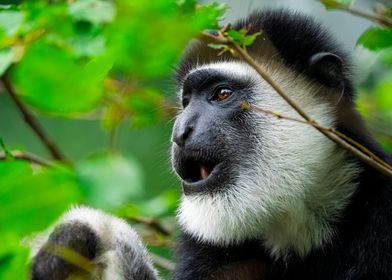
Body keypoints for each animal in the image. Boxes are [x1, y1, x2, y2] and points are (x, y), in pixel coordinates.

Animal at [29, 8, 392, 280]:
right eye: (186, 101)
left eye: (222, 94)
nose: (181, 131)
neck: (297, 228)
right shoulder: (209, 247)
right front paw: (78, 236)